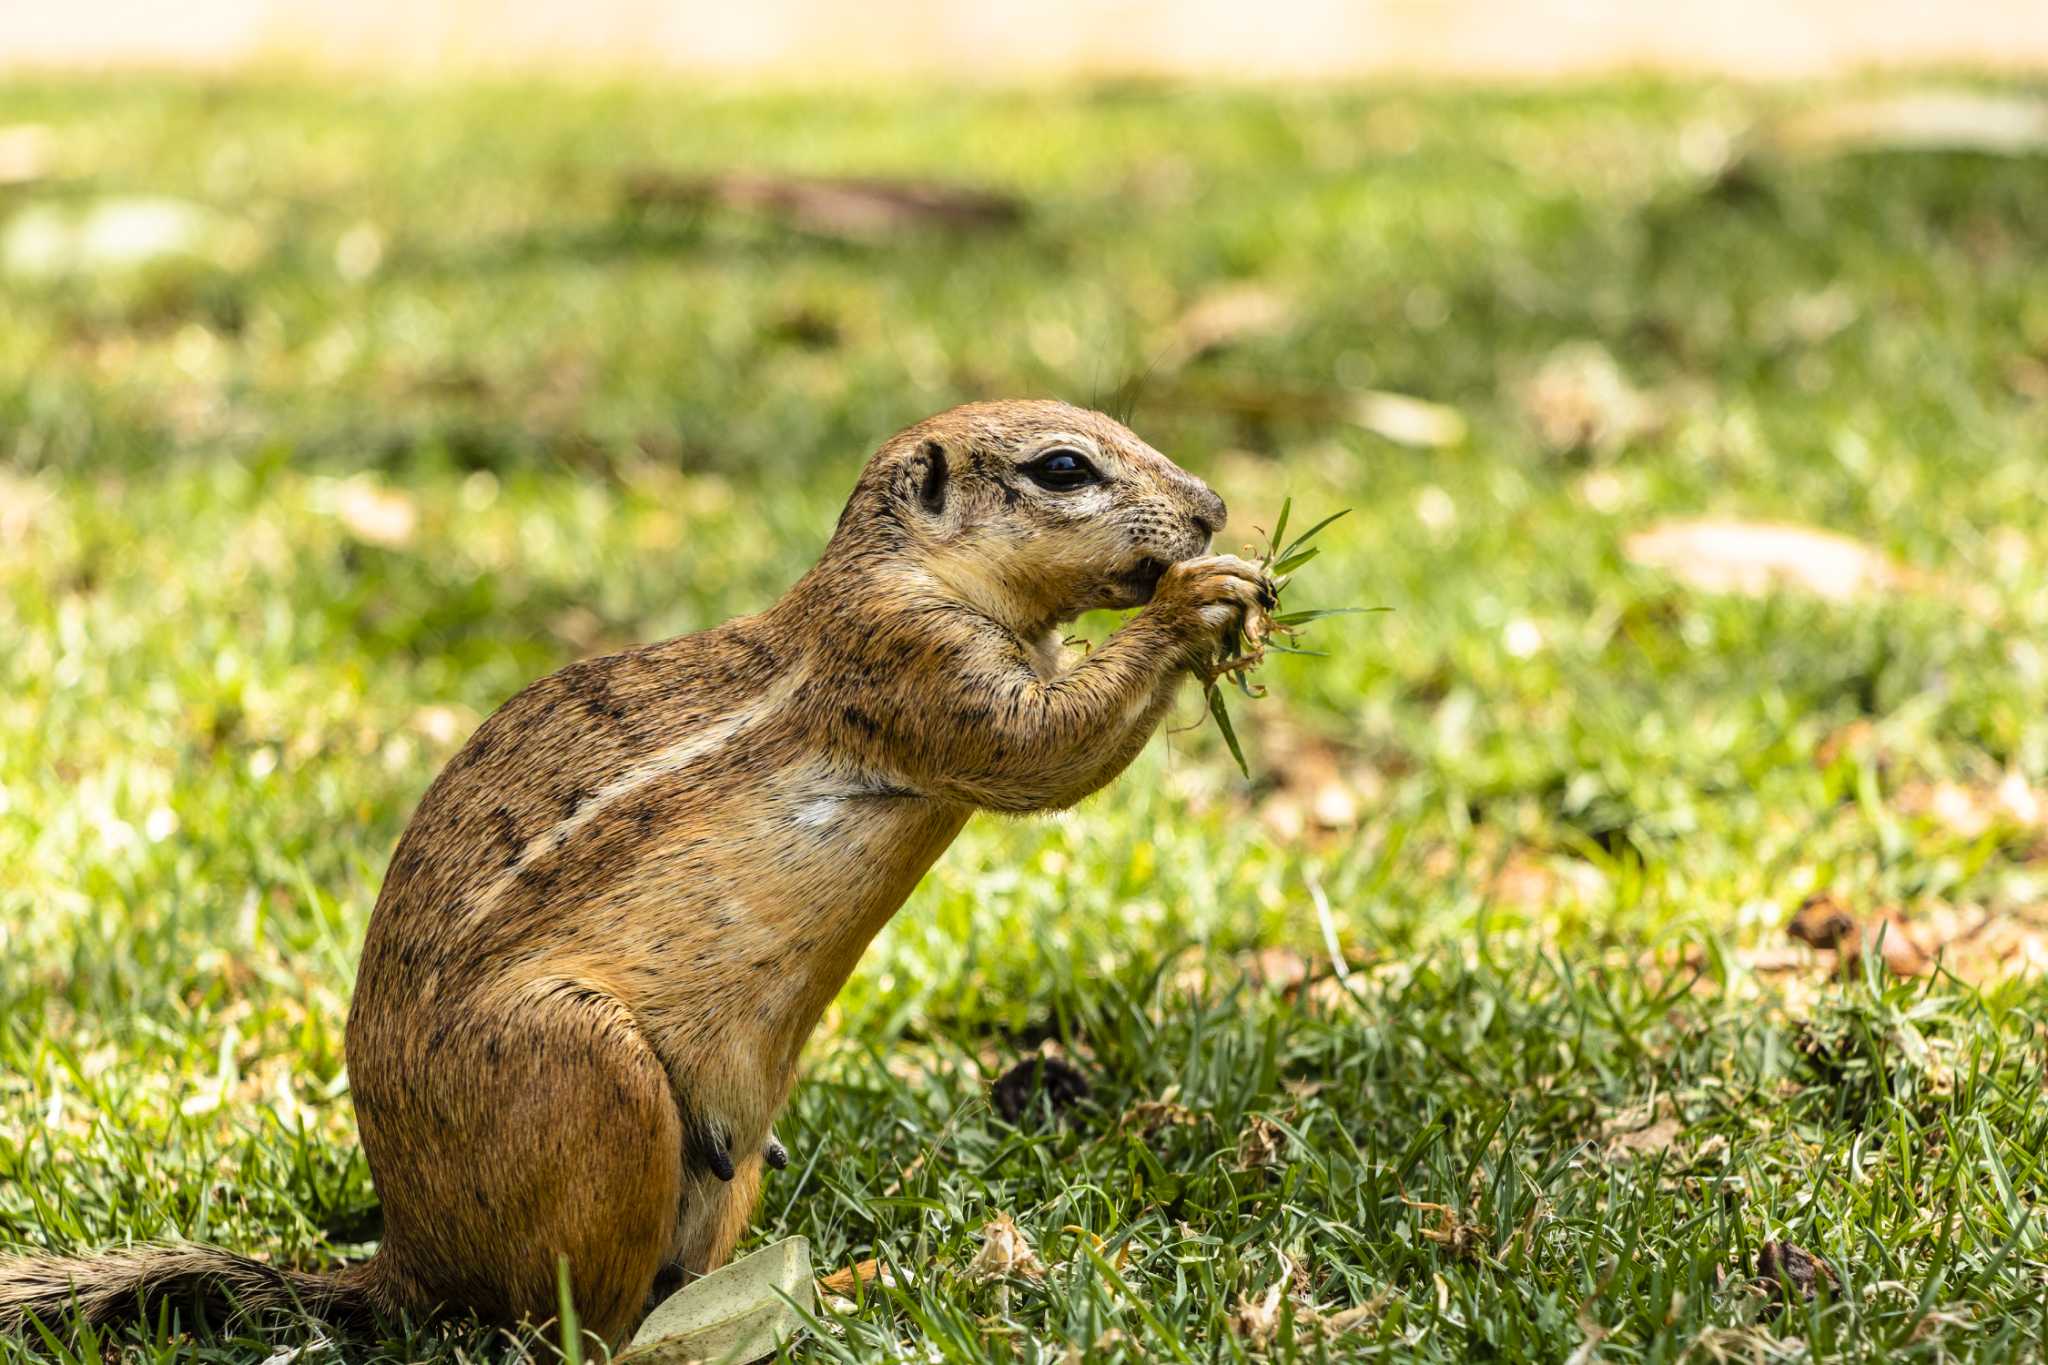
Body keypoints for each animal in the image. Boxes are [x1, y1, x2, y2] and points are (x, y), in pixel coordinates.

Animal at [0, 394, 1269, 1342]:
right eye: (1063, 467)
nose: (1211, 508)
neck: (904, 572)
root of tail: (408, 1259)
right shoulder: (907, 661)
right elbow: (1040, 747)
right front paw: (1204, 602)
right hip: (583, 1065)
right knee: (563, 1323)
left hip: (724, 1164)